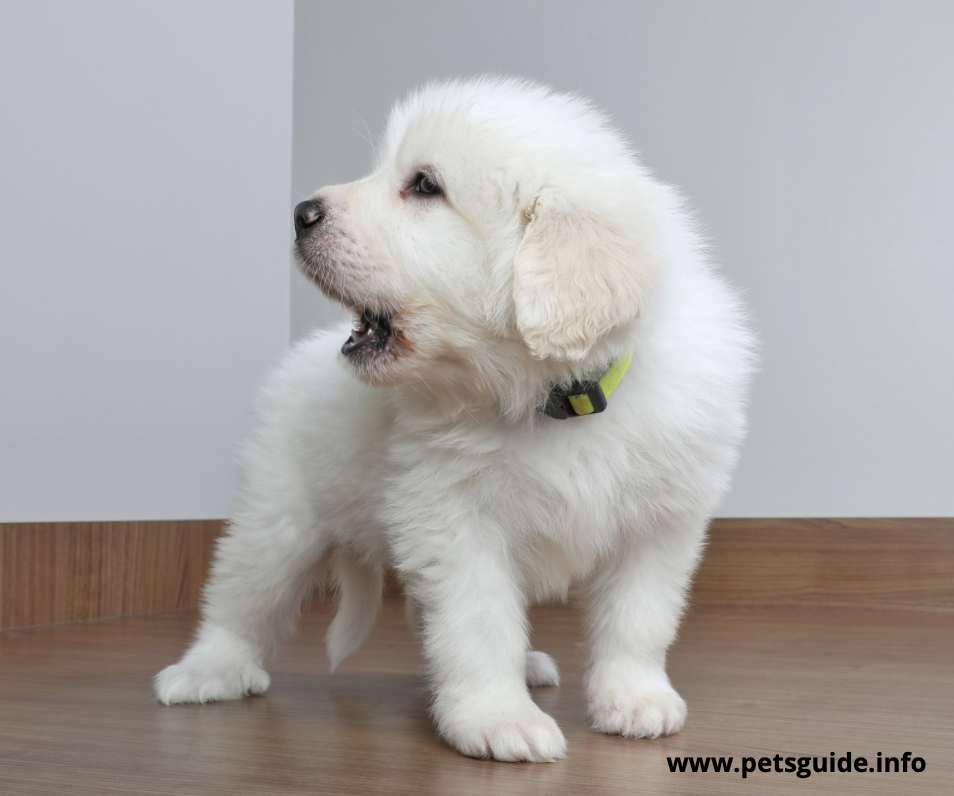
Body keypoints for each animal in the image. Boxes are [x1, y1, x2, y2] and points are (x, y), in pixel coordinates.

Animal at [154, 76, 752, 764]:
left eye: (425, 186)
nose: (302, 212)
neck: (554, 399)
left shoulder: (658, 526)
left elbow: (638, 620)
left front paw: (634, 699)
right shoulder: (454, 521)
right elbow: (478, 622)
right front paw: (497, 718)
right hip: (278, 518)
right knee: (239, 600)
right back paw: (207, 670)